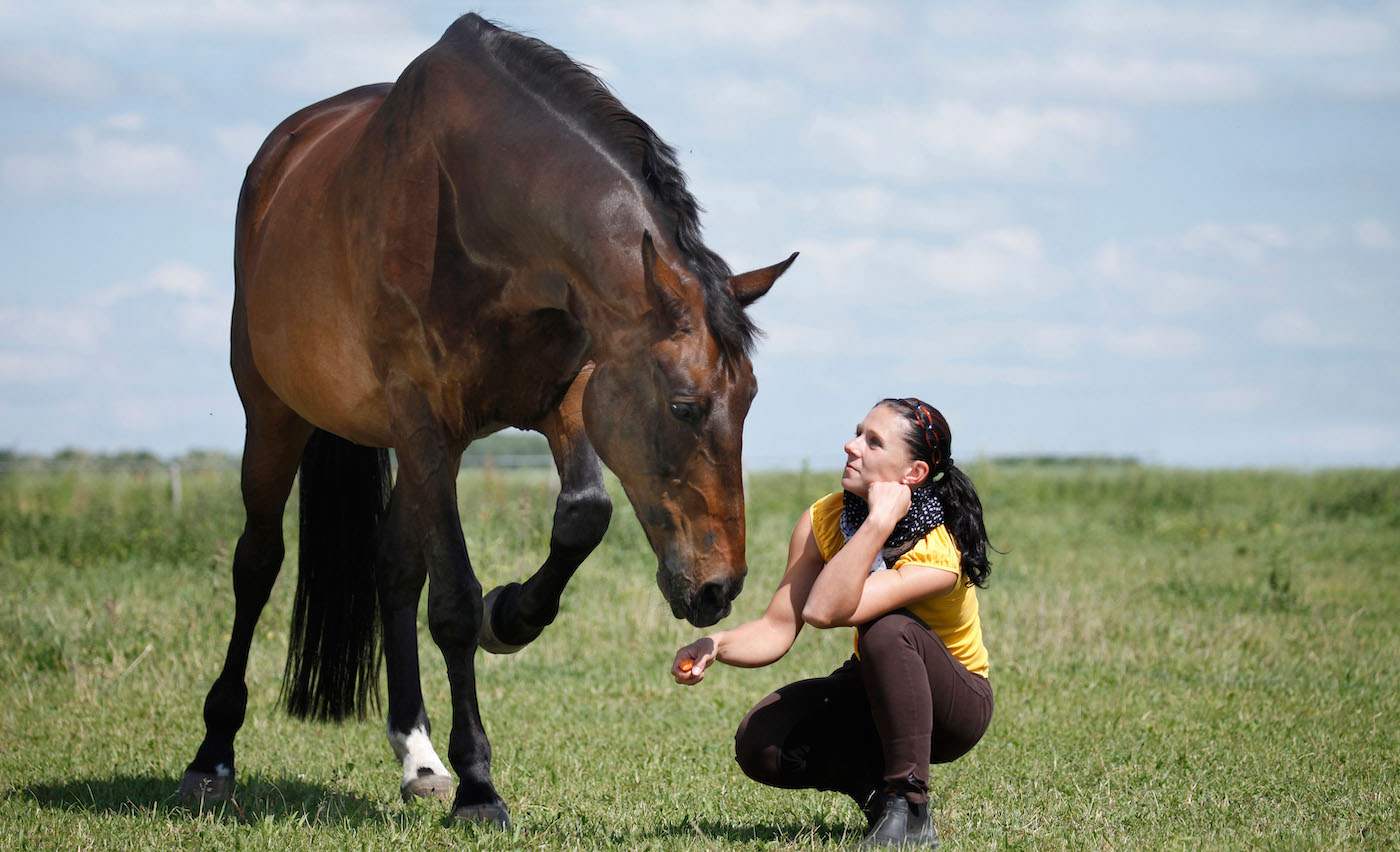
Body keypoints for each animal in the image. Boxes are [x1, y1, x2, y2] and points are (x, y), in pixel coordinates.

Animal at [177, 14, 795, 827]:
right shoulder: (419, 412)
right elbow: (453, 604)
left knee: (392, 566)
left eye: (749, 399)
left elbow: (582, 517)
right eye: (685, 406)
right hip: (278, 413)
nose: (719, 590)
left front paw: (514, 616)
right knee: (258, 562)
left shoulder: (568, 394)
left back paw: (418, 757)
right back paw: (212, 757)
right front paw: (479, 785)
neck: (471, 206)